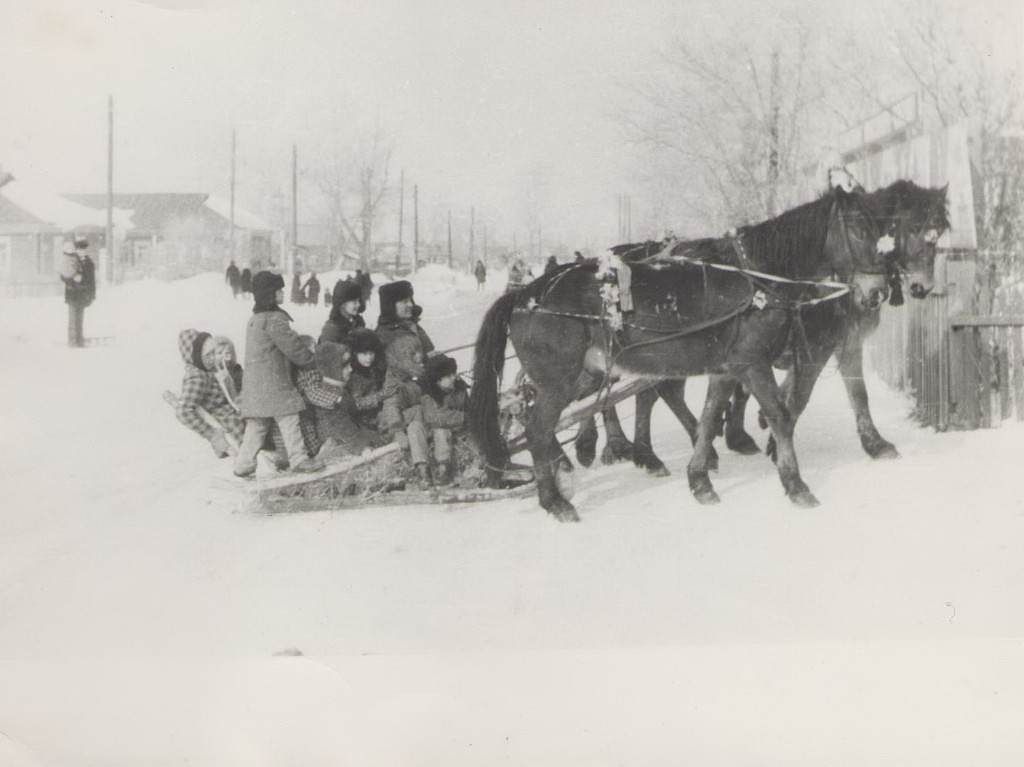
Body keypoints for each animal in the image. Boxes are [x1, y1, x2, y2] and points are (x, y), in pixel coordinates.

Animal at [468, 185, 889, 521]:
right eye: (859, 229)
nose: (880, 292)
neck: (756, 281)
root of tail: (525, 295)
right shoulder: (753, 363)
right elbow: (781, 416)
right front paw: (796, 486)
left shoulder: (727, 368)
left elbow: (708, 418)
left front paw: (700, 480)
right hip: (560, 380)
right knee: (538, 427)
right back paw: (555, 499)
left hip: (583, 374)